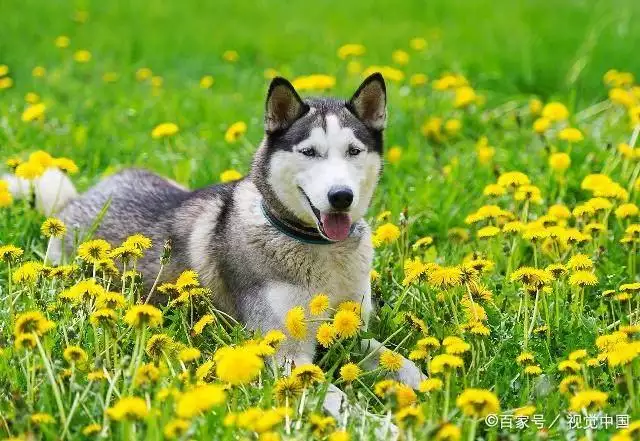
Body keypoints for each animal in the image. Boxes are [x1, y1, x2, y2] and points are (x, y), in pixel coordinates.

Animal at [7, 72, 424, 422]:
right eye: (309, 152)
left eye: (353, 151)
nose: (341, 197)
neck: (319, 250)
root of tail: (74, 203)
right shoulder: (285, 353)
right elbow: (338, 400)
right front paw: (382, 425)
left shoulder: (350, 328)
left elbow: (400, 361)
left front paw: (425, 387)